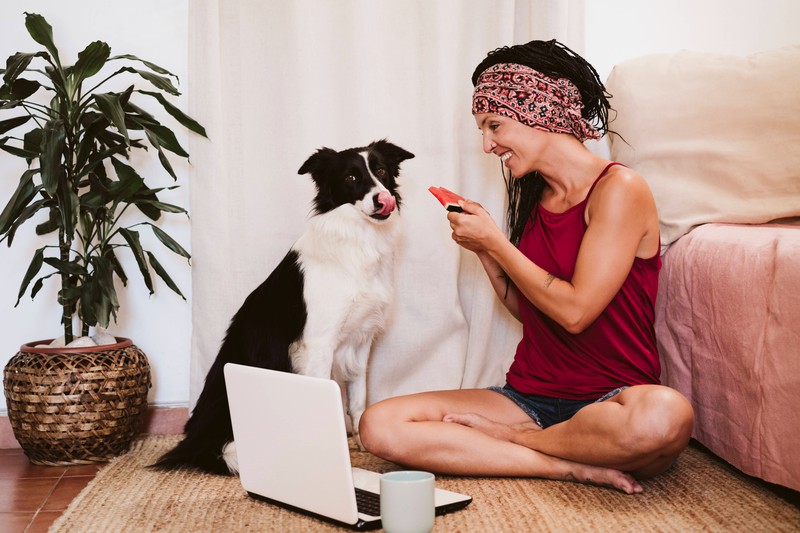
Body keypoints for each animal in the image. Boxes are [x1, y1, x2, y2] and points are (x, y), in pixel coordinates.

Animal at [157, 139, 418, 472]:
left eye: (381, 171)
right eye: (350, 177)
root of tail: (196, 439)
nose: (383, 199)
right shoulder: (319, 344)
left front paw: (363, 443)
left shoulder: (361, 340)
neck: (357, 241)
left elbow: (359, 400)